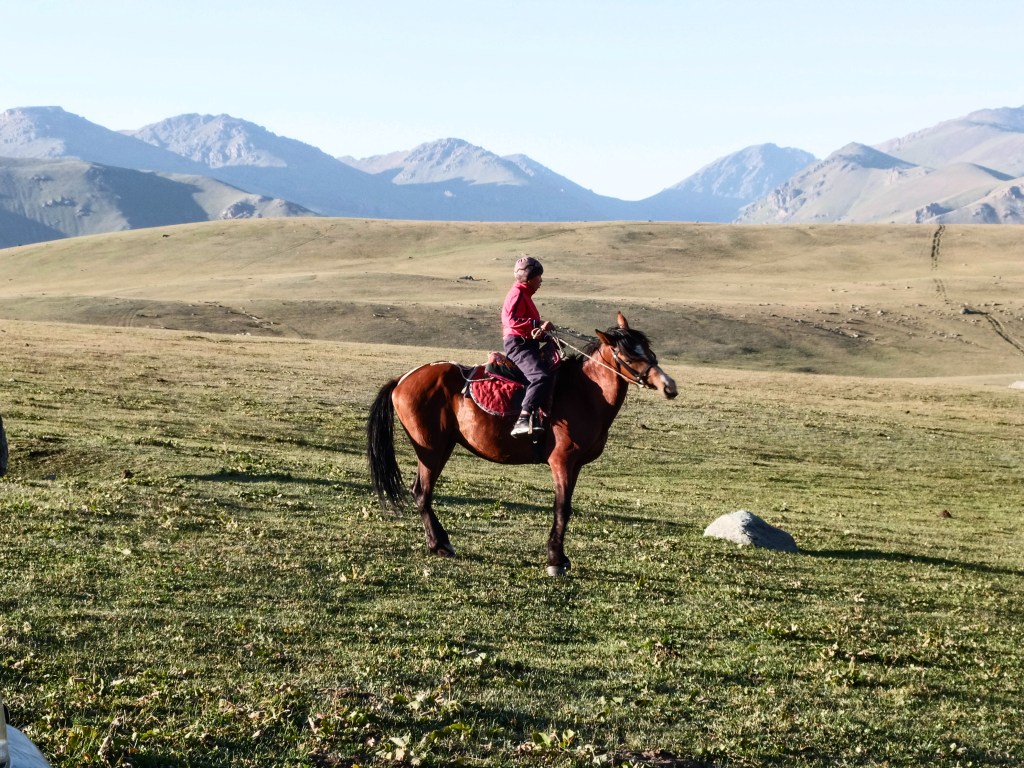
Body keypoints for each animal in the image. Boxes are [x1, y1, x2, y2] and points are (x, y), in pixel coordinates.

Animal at [366, 312, 678, 575]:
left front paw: (560, 557)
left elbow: (566, 508)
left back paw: (439, 543)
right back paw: (440, 544)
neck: (585, 392)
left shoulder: (575, 465)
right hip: (432, 450)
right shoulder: (562, 461)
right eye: (628, 355)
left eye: (648, 349)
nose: (669, 386)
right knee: (422, 493)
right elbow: (561, 509)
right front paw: (555, 560)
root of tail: (402, 380)